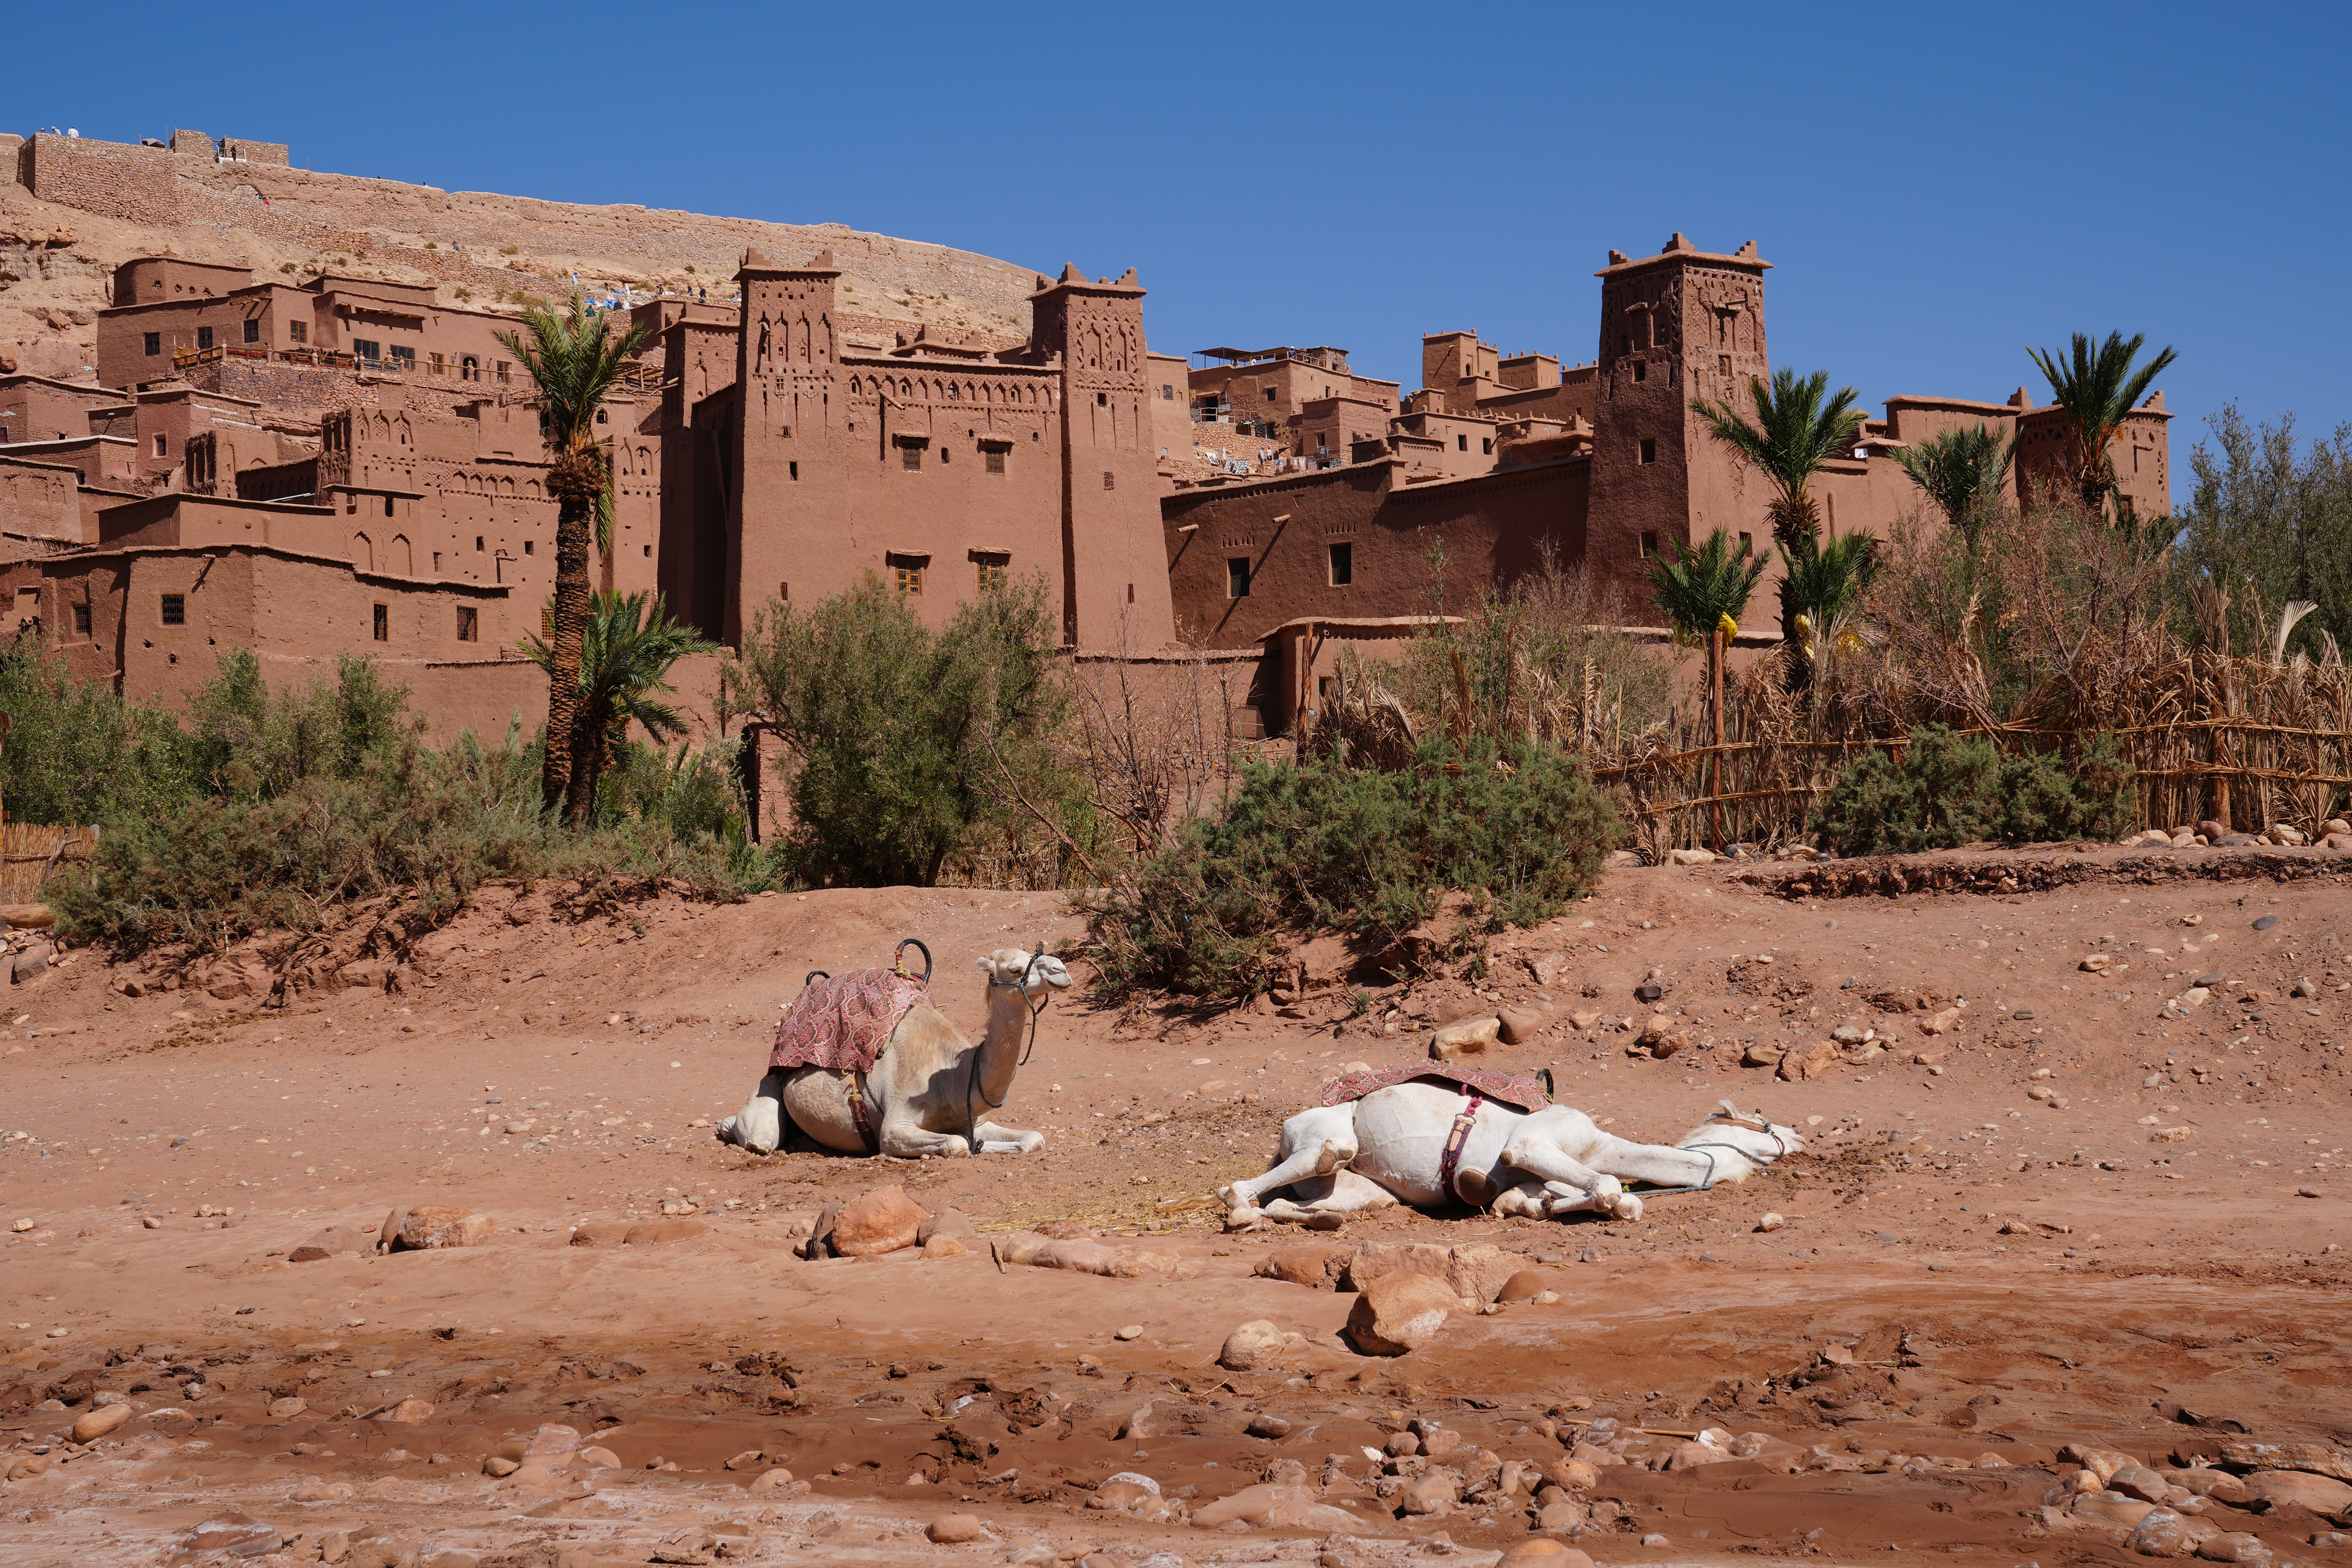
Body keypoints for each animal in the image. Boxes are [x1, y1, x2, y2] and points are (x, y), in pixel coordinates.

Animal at [715, 946, 1071, 1159]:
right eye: (1015, 969)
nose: (1061, 969)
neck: (956, 1077)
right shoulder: (894, 1129)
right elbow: (956, 1144)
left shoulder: (976, 1121)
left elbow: (1033, 1138)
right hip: (771, 1087)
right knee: (759, 1137)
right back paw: (726, 1128)